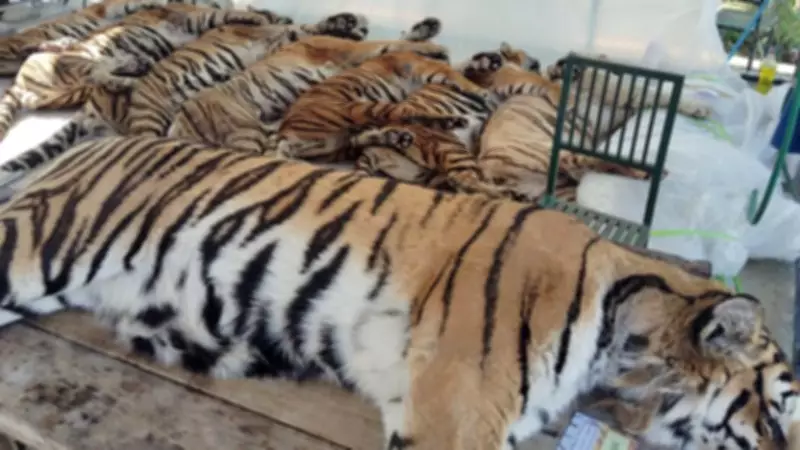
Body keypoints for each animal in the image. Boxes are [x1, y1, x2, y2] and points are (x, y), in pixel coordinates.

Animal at [166, 17, 447, 153]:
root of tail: (179, 124)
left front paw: (427, 31)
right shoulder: (350, 49)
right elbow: (390, 43)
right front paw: (435, 48)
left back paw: (396, 137)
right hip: (244, 132)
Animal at [275, 50, 489, 163]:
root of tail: (284, 131)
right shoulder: (428, 68)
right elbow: (456, 76)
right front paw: (481, 89)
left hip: (337, 144)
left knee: (363, 138)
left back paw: (399, 138)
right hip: (361, 107)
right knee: (406, 113)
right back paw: (454, 121)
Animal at [466, 47, 712, 202]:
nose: (561, 63)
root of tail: (484, 166)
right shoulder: (627, 94)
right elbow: (661, 94)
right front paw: (699, 107)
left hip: (558, 183)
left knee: (582, 170)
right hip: (551, 152)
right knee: (588, 162)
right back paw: (649, 172)